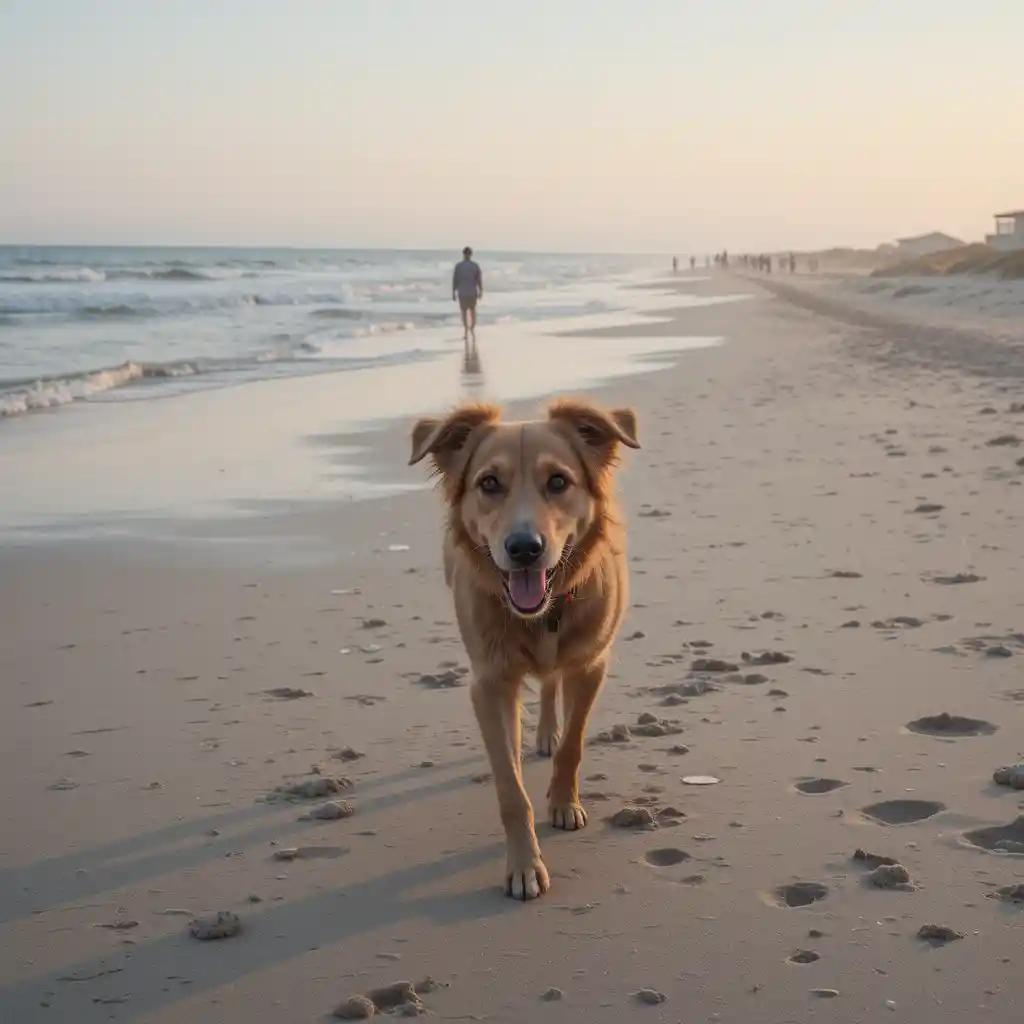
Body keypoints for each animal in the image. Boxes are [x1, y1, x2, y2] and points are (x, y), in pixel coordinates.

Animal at [409, 395, 638, 901]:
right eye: (489, 483)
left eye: (558, 481)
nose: (524, 548)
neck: (541, 615)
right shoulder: (489, 686)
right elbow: (511, 790)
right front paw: (525, 865)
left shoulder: (591, 665)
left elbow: (574, 744)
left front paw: (564, 802)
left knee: (552, 687)